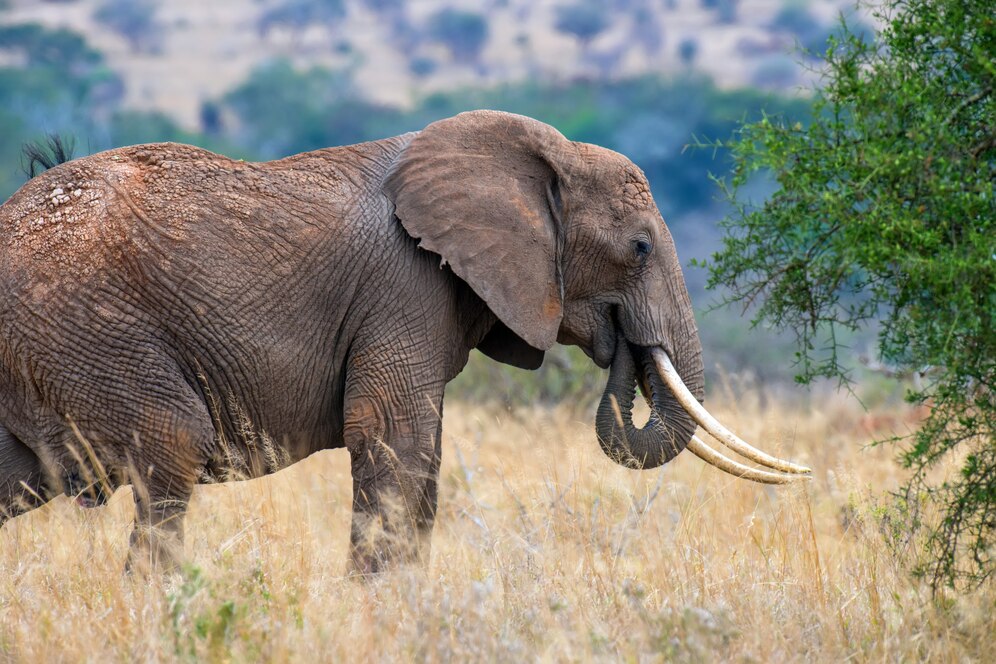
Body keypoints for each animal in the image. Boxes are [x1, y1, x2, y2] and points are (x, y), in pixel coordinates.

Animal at [0, 111, 808, 572]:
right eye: (639, 248)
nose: (620, 346)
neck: (544, 156)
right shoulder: (404, 286)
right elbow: (396, 437)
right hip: (86, 328)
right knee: (172, 447)